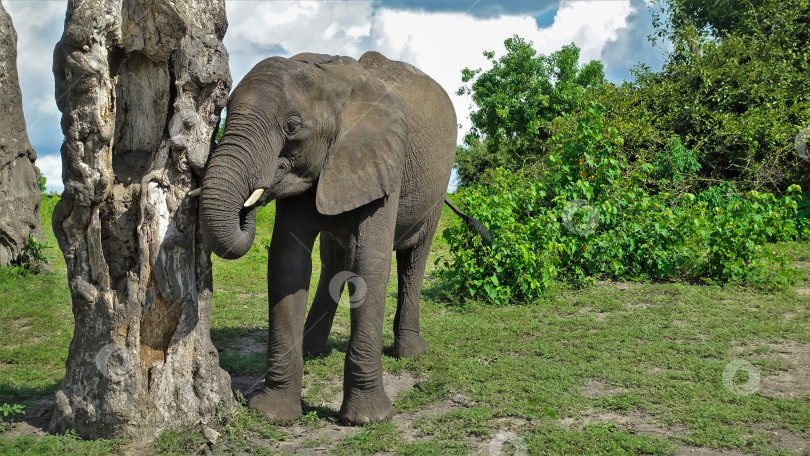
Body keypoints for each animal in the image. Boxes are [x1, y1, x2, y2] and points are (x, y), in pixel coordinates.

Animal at [196, 51, 486, 426]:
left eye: (292, 126)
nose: (251, 199)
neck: (328, 79)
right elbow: (288, 263)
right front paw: (273, 414)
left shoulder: (383, 163)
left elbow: (369, 264)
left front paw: (367, 419)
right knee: (334, 257)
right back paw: (311, 348)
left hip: (437, 187)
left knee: (413, 258)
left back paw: (411, 353)